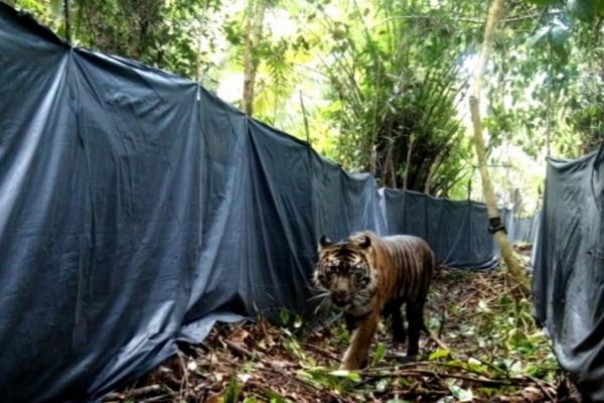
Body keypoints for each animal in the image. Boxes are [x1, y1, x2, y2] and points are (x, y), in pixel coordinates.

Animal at [312, 232, 434, 370]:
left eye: (353, 272)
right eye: (332, 270)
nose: (341, 293)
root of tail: (424, 242)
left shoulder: (369, 314)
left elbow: (358, 343)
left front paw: (347, 370)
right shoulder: (350, 314)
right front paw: (362, 363)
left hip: (416, 302)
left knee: (414, 326)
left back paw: (411, 355)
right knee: (396, 310)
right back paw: (400, 336)